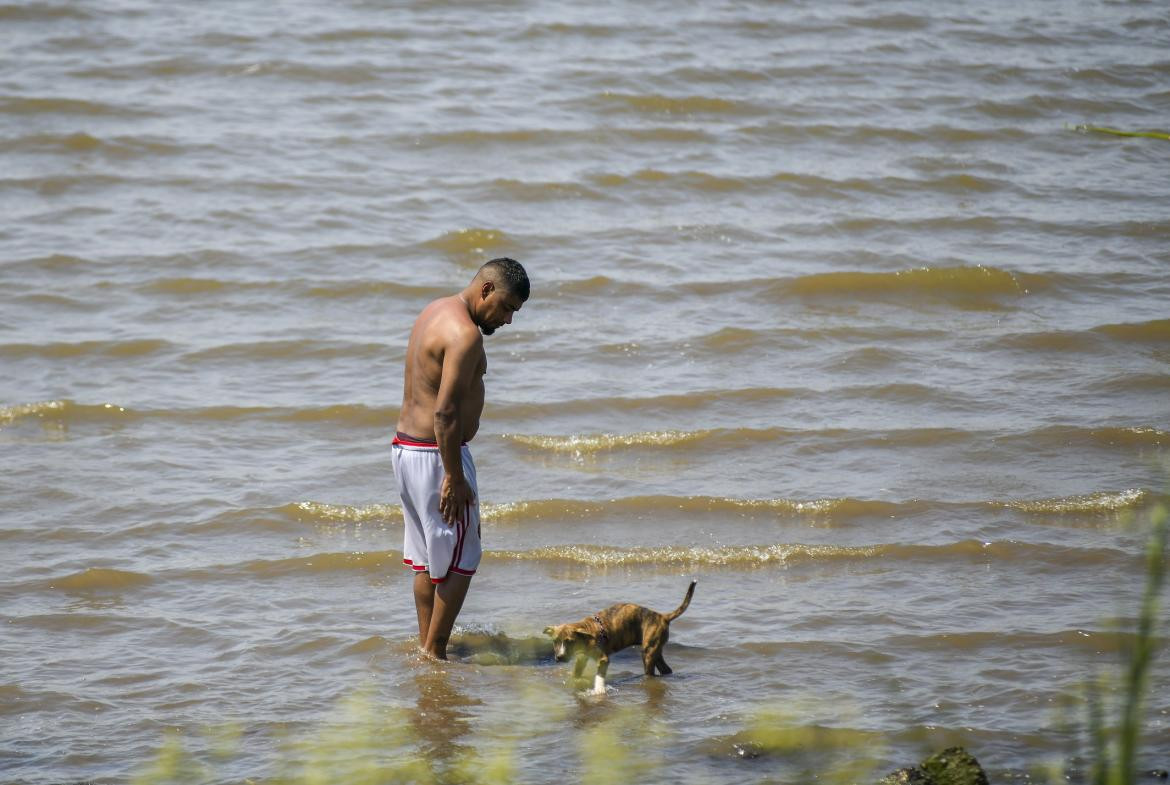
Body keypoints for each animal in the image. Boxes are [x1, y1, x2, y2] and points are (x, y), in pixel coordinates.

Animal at [540, 577, 692, 692]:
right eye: (555, 641)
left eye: (570, 641)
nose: (559, 657)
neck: (586, 633)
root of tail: (662, 617)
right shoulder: (582, 658)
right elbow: (576, 673)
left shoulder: (603, 659)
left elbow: (599, 676)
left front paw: (599, 690)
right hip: (655, 650)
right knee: (666, 669)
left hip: (648, 653)